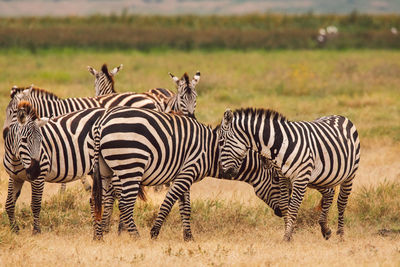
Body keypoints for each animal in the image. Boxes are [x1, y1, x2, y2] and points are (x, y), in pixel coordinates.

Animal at [90, 107, 284, 243]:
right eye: (276, 180)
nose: (282, 213)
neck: (213, 151)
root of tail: (102, 123)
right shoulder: (188, 170)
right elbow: (168, 203)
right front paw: (154, 233)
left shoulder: (184, 175)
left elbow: (185, 208)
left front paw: (189, 237)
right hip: (131, 165)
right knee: (124, 204)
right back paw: (136, 237)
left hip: (106, 170)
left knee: (98, 200)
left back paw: (99, 237)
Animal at [217, 108, 360, 242]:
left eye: (221, 142)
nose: (223, 171)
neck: (280, 144)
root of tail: (339, 116)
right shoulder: (283, 177)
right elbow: (285, 206)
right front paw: (289, 235)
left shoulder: (300, 178)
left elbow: (293, 208)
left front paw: (286, 237)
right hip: (318, 178)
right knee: (329, 193)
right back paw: (325, 229)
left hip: (349, 174)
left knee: (341, 202)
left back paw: (341, 234)